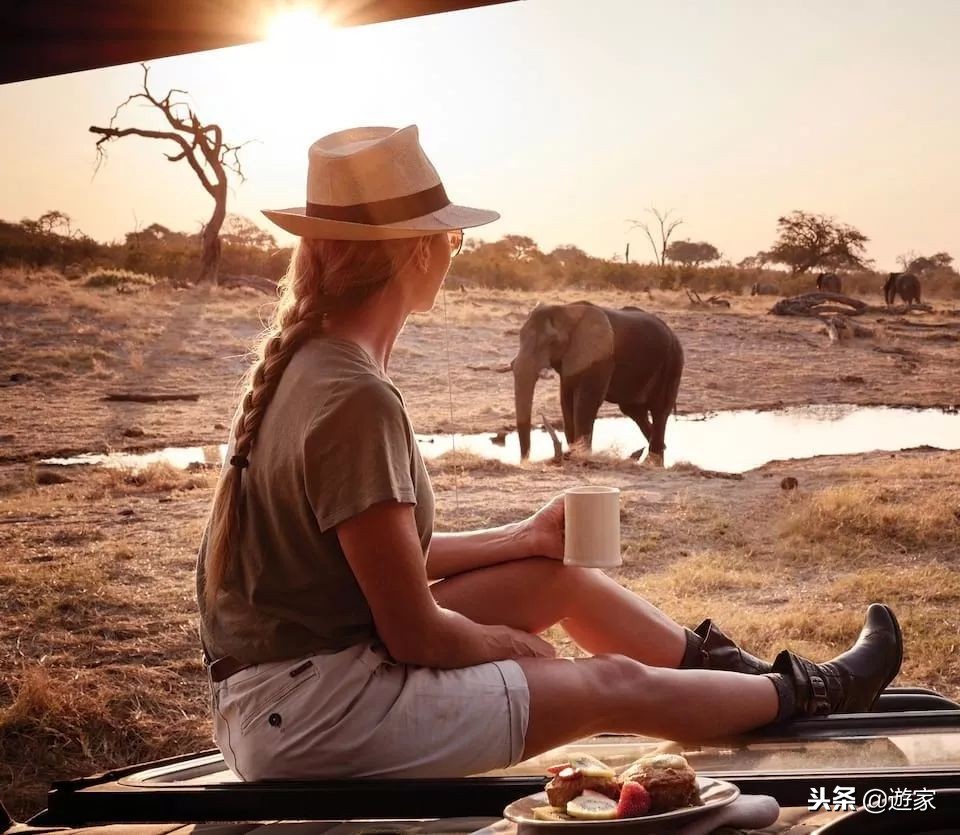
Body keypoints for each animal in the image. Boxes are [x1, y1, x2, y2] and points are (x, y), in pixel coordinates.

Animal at [510, 304, 684, 464]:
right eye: (520, 336)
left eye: (552, 342)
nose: (525, 461)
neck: (567, 311)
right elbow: (566, 401)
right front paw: (574, 455)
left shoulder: (601, 359)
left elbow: (585, 404)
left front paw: (580, 456)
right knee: (634, 411)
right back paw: (654, 452)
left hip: (673, 362)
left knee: (659, 410)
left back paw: (652, 461)